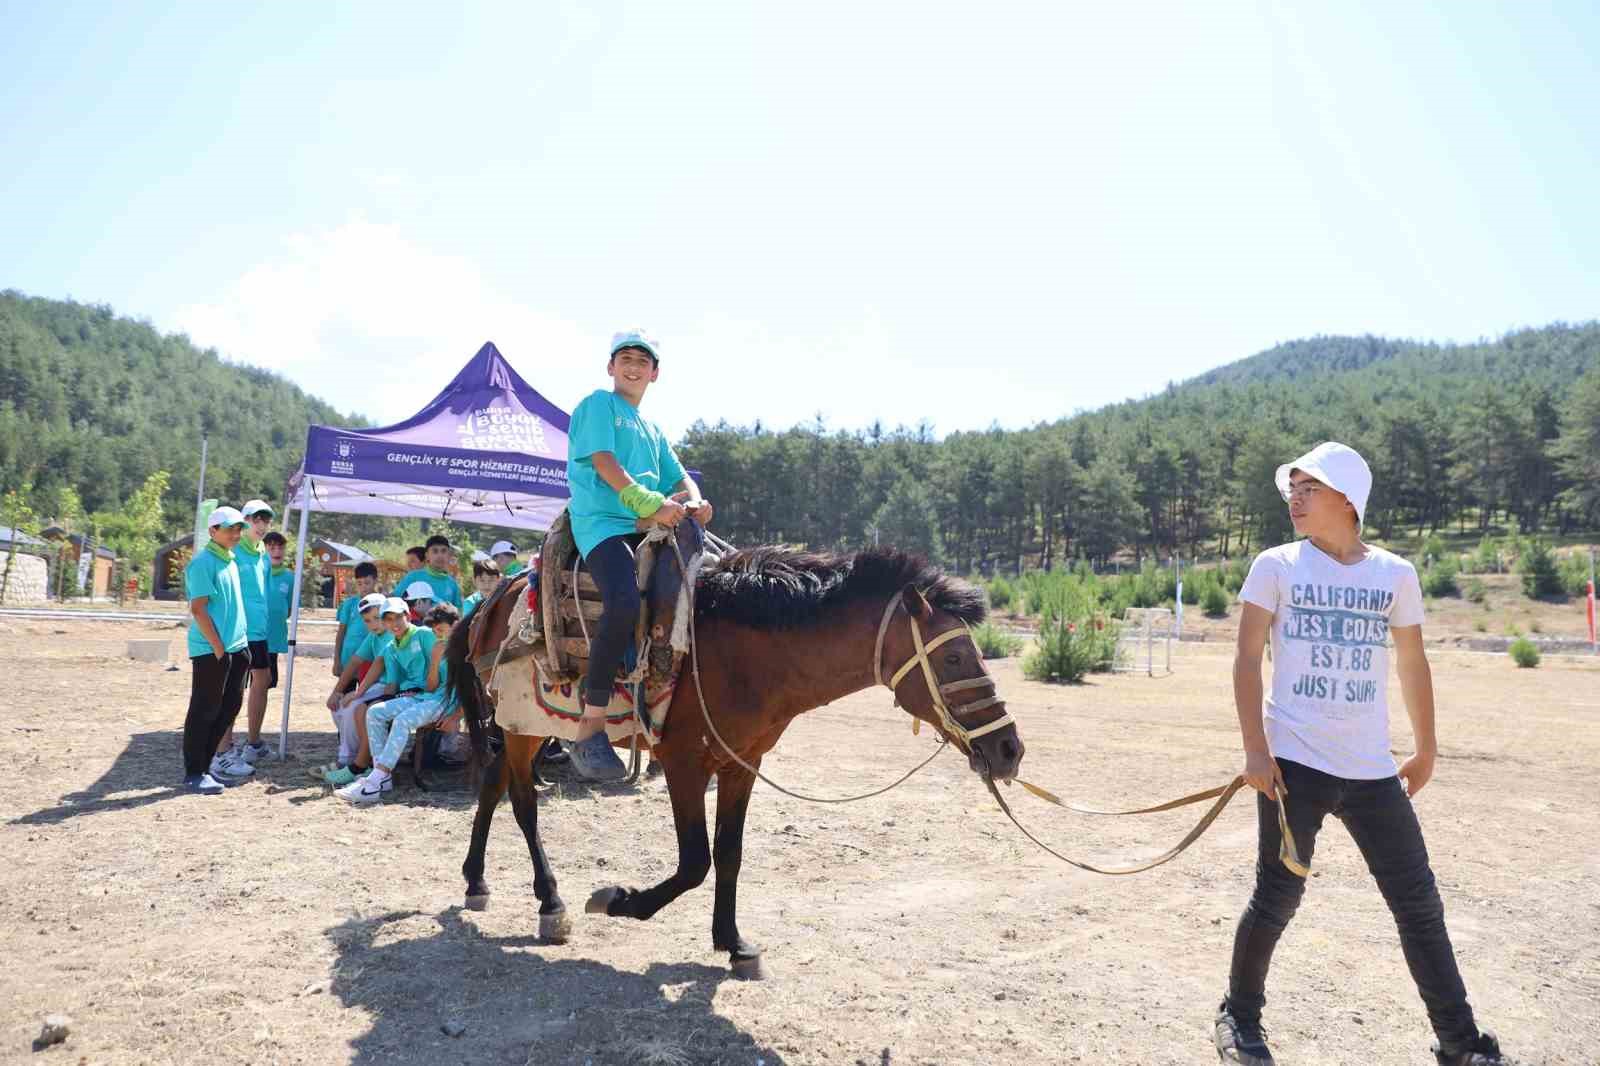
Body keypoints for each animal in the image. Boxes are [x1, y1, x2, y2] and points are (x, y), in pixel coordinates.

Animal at [451, 544, 1024, 973]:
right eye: (954, 657)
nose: (1009, 749)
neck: (742, 654)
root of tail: (495, 598)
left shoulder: (741, 763)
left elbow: (729, 854)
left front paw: (733, 942)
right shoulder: (683, 764)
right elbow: (694, 861)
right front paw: (619, 900)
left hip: (518, 726)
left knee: (494, 784)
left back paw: (476, 881)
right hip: (523, 724)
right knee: (524, 803)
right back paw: (551, 903)